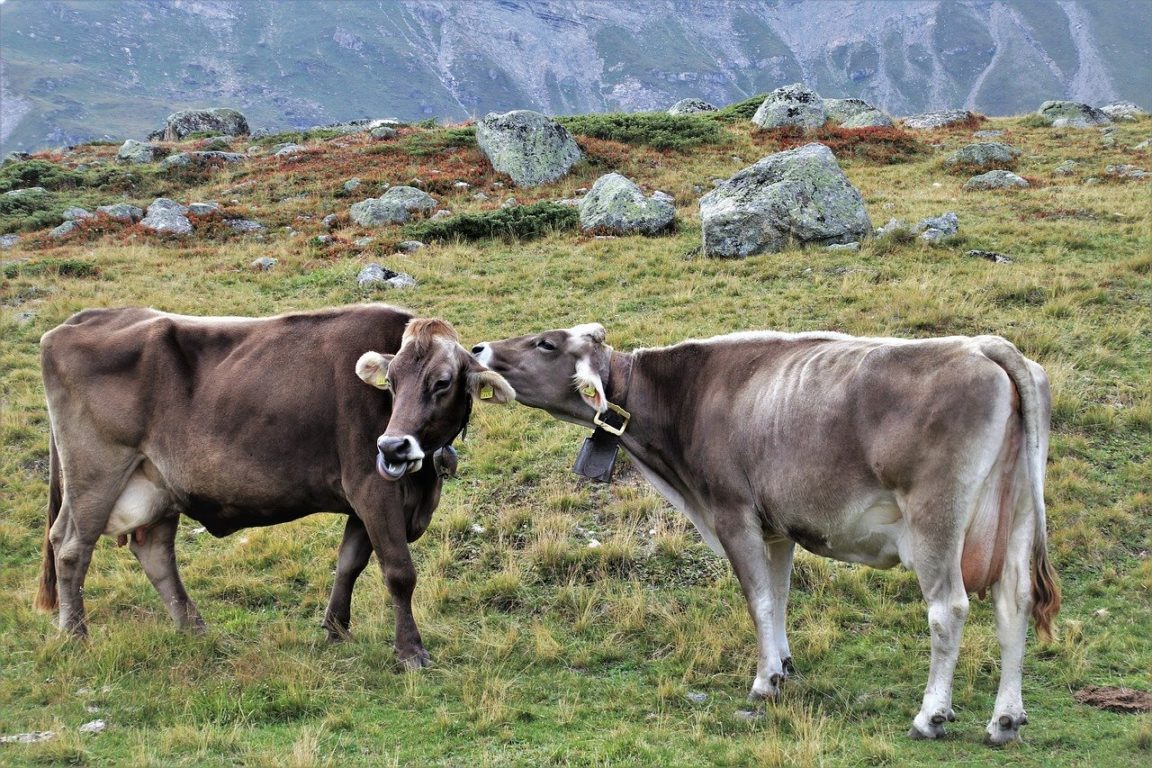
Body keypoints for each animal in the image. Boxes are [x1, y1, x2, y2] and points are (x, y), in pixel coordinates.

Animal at [36, 305, 514, 668]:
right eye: (391, 383)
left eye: (442, 382)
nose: (392, 446)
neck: (421, 483)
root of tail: (82, 319)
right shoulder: (371, 487)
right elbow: (398, 572)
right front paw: (411, 652)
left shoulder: (363, 500)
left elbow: (350, 562)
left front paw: (335, 628)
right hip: (95, 473)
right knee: (71, 547)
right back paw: (75, 635)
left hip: (156, 484)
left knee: (153, 550)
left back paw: (194, 628)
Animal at [472, 324, 1060, 744]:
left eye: (545, 343)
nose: (477, 348)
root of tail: (982, 345)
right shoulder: (777, 527)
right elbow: (777, 596)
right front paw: (783, 666)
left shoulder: (733, 513)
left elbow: (756, 598)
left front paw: (763, 682)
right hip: (1017, 514)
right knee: (1014, 603)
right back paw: (1005, 720)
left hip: (936, 519)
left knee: (948, 610)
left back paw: (931, 715)